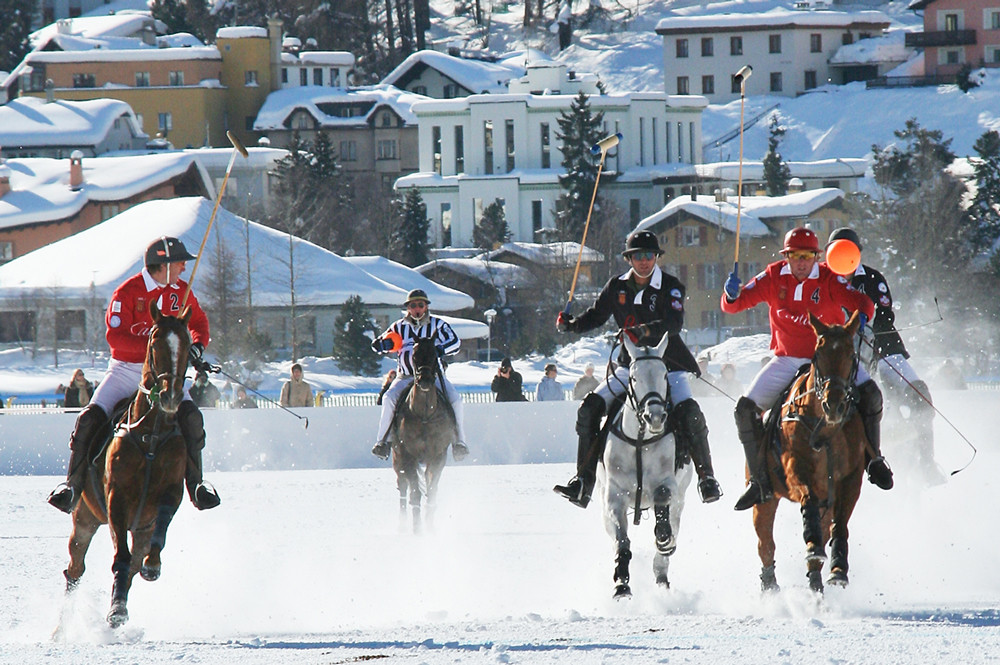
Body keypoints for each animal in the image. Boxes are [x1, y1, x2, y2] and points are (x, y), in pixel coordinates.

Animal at [61, 304, 192, 624]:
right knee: (75, 569)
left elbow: (155, 539)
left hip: (139, 526)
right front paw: (117, 610)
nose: (171, 397)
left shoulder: (171, 493)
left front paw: (152, 566)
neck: (151, 434)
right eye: (154, 342)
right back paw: (65, 626)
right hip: (84, 518)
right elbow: (120, 556)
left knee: (133, 564)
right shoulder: (116, 498)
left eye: (188, 345)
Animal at [392, 334, 458, 532]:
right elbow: (415, 493)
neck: (424, 415)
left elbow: (432, 490)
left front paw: (430, 525)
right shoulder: (408, 455)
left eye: (435, 354)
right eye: (414, 356)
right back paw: (402, 524)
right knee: (402, 487)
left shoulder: (438, 455)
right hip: (397, 458)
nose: (425, 381)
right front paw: (417, 528)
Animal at [596, 332, 692, 596]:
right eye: (633, 377)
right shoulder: (613, 495)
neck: (641, 438)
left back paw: (663, 573)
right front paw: (621, 585)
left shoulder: (669, 484)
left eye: (664, 375)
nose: (655, 417)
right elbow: (621, 541)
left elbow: (662, 497)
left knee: (671, 531)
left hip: (681, 498)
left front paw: (664, 538)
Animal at [752, 308, 868, 592]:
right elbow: (808, 499)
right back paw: (770, 584)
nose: (834, 406)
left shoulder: (851, 479)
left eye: (851, 354)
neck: (823, 426)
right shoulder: (796, 470)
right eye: (819, 353)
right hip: (764, 497)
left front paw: (838, 569)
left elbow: (840, 524)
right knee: (765, 543)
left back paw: (816, 585)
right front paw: (813, 543)